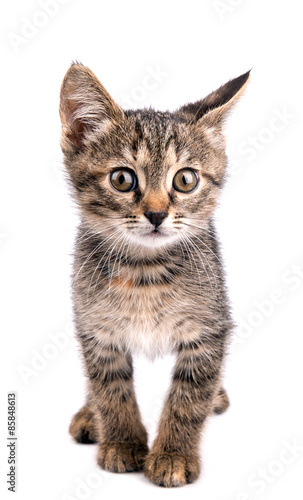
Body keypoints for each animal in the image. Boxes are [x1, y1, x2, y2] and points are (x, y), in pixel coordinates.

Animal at [58, 64, 249, 486]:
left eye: (185, 180)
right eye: (122, 179)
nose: (158, 214)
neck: (144, 270)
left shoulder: (209, 330)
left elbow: (188, 398)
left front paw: (173, 454)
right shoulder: (96, 329)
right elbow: (110, 388)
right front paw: (122, 442)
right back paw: (89, 415)